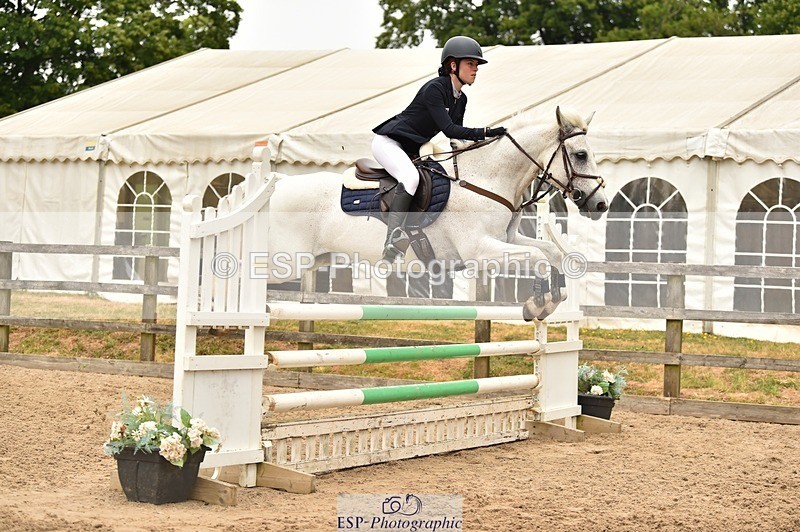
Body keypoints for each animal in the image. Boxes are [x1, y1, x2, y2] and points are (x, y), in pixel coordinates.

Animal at [264, 107, 607, 319]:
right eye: (580, 155)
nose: (600, 204)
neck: (486, 179)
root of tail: (277, 185)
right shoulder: (479, 251)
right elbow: (538, 259)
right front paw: (537, 305)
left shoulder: (507, 240)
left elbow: (552, 253)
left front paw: (550, 301)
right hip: (285, 261)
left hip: (314, 258)